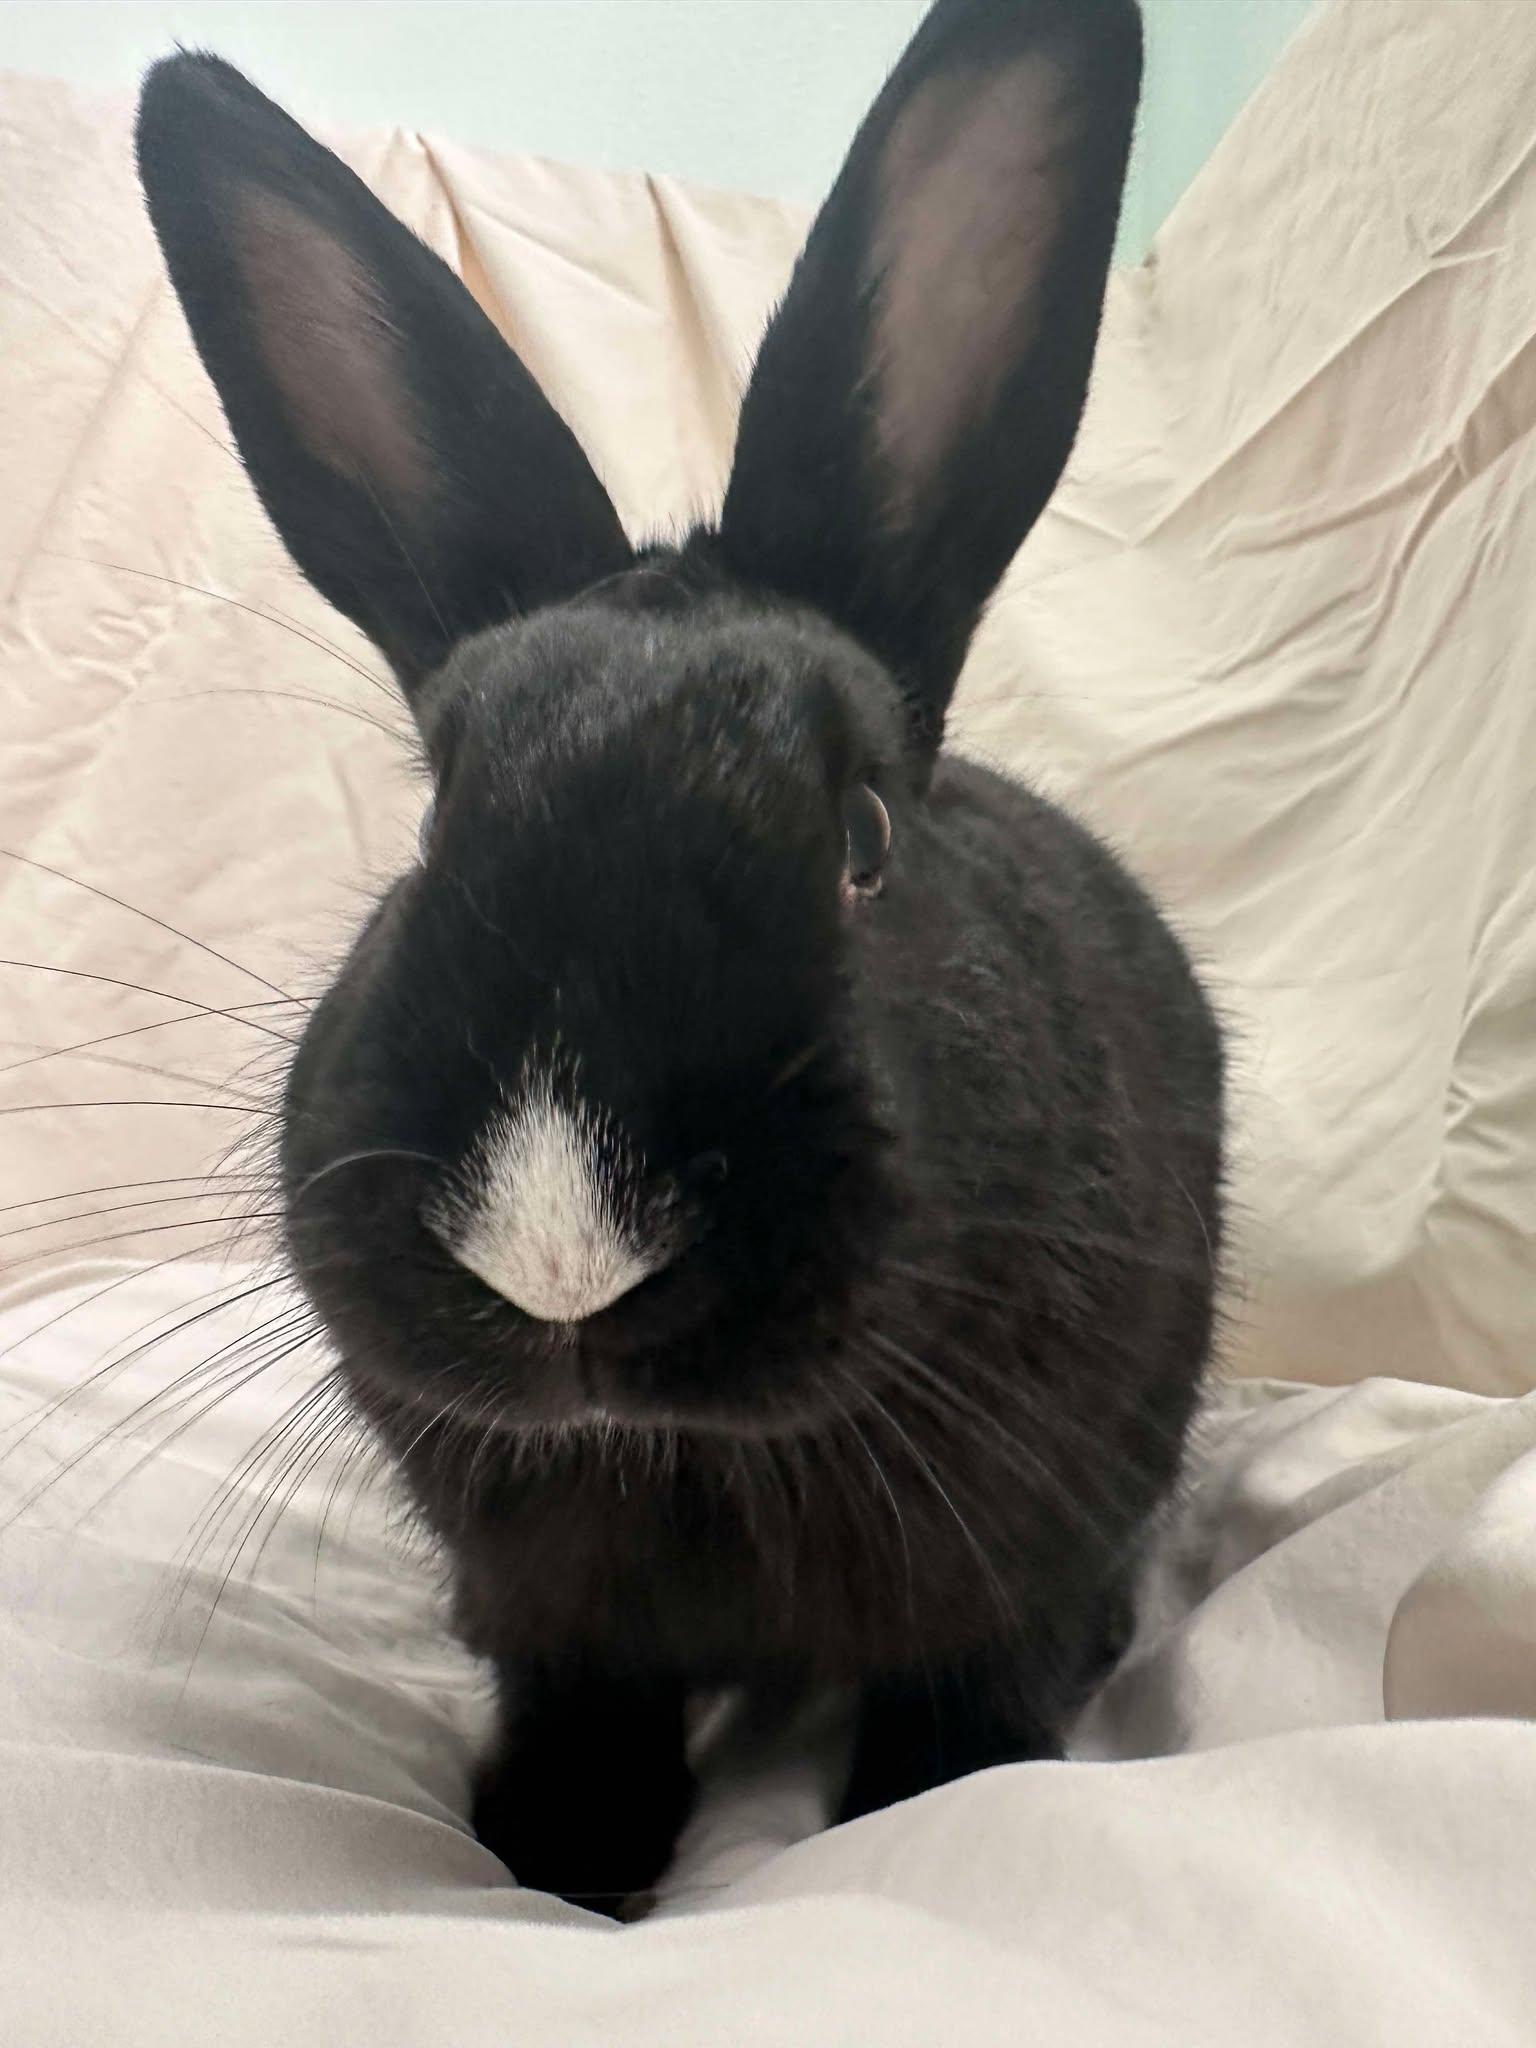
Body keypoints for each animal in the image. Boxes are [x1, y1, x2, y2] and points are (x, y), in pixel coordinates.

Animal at [135, 0, 1222, 1917]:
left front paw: (940, 1799)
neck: (696, 1470)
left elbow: (969, 1698)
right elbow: (583, 1705)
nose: (564, 1254)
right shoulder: (555, 1620)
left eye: (864, 839)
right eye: (436, 821)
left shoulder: (1022, 1533)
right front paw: (546, 1854)